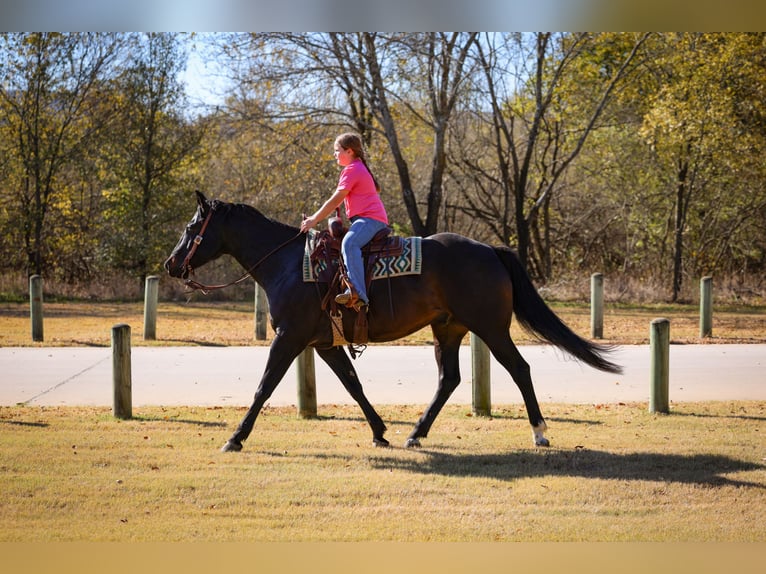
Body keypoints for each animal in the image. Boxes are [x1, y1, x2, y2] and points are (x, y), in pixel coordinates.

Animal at [164, 191, 621, 452]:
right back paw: (416, 432)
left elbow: (264, 387)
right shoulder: (323, 342)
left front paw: (235, 437)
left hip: (489, 328)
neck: (288, 263)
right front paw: (380, 430)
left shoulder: (289, 337)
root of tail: (490, 250)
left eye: (190, 226)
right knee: (449, 379)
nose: (170, 264)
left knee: (519, 369)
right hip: (448, 328)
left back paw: (540, 432)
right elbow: (354, 385)